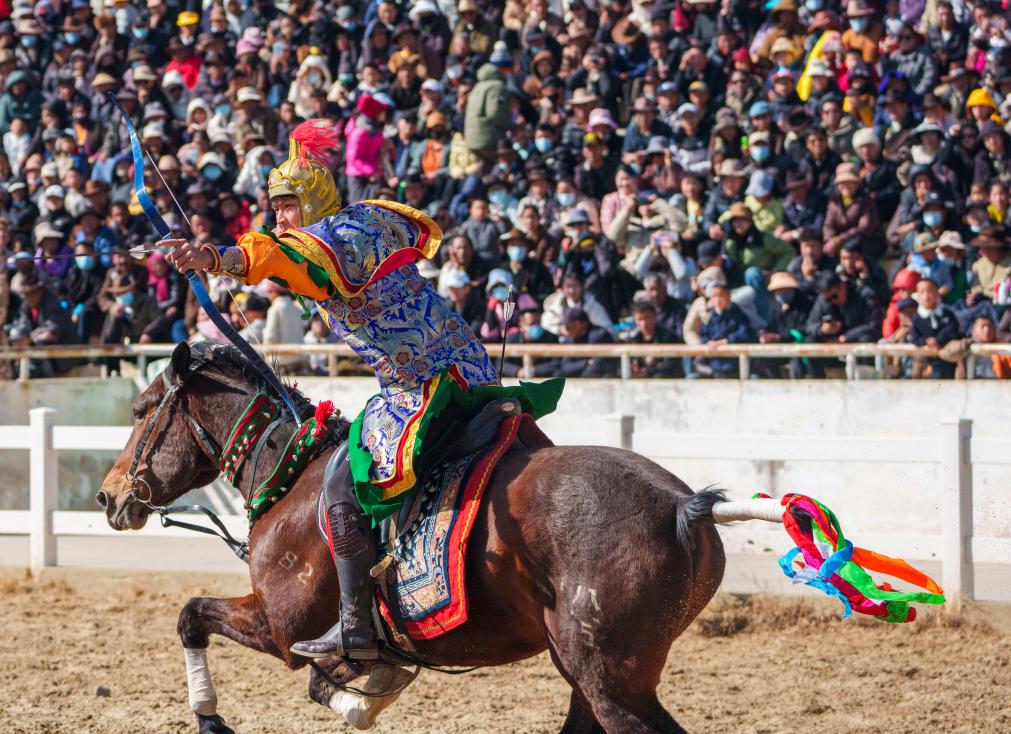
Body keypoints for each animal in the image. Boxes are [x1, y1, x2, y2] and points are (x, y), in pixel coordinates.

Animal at [98, 341, 732, 734]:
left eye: (140, 410)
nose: (108, 495)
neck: (294, 473)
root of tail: (678, 505)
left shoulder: (280, 627)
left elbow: (191, 615)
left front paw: (209, 714)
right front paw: (367, 691)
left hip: (613, 686)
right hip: (587, 677)